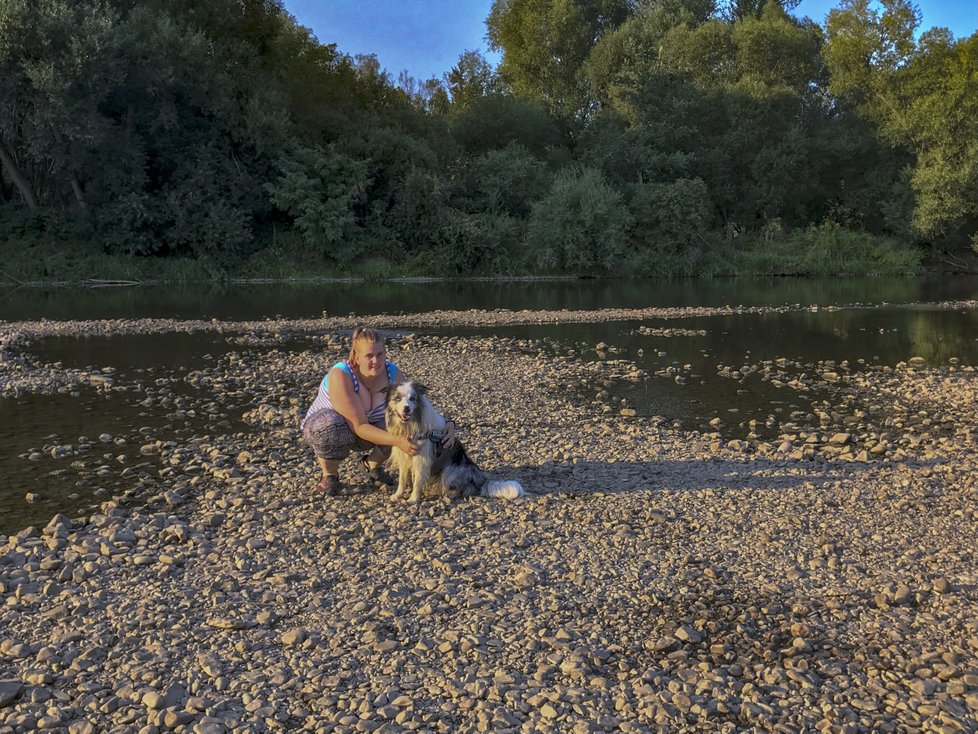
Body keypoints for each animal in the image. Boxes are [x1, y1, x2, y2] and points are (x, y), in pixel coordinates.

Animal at [380, 382, 528, 504]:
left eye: (412, 399)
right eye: (397, 398)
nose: (406, 409)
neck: (409, 426)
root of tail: (479, 481)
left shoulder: (422, 460)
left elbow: (417, 482)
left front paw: (413, 499)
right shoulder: (404, 456)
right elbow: (402, 480)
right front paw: (397, 495)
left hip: (450, 470)